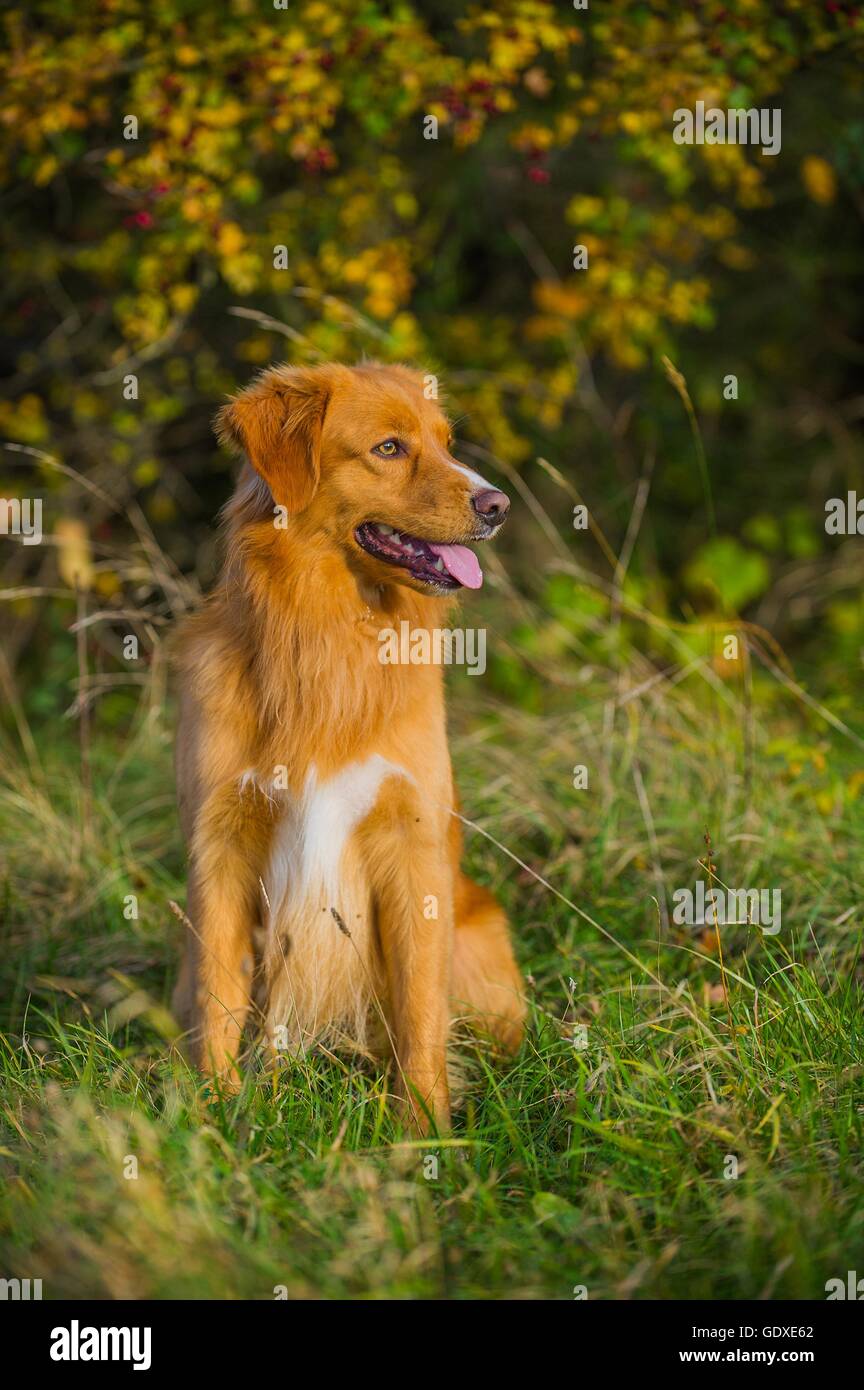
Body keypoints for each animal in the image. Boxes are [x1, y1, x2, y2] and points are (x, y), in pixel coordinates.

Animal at [171, 361, 525, 1128]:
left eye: (446, 442)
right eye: (389, 448)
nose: (499, 504)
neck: (327, 629)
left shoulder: (412, 845)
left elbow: (420, 1011)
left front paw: (423, 1130)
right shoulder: (221, 844)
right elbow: (218, 995)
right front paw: (216, 1116)